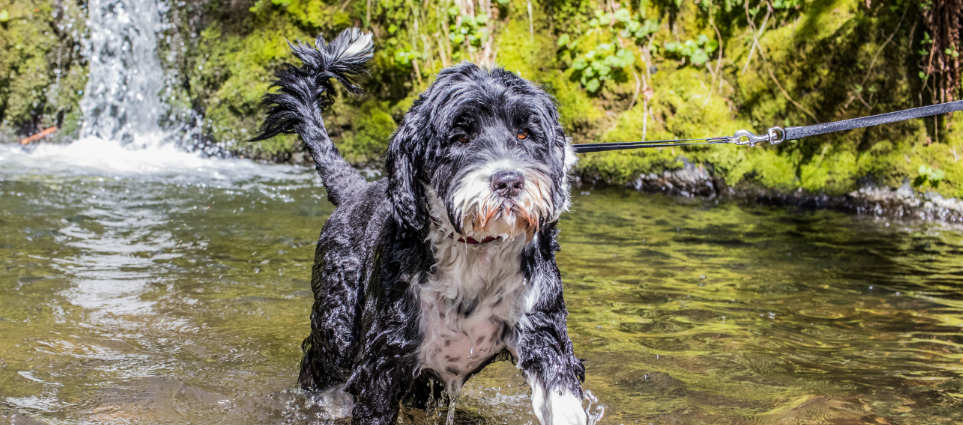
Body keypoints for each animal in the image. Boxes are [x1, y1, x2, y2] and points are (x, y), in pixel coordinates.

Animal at [252, 27, 592, 424]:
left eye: (525, 133)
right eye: (460, 136)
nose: (509, 181)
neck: (474, 250)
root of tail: (355, 190)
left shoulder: (542, 333)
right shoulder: (386, 358)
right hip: (336, 328)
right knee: (317, 363)